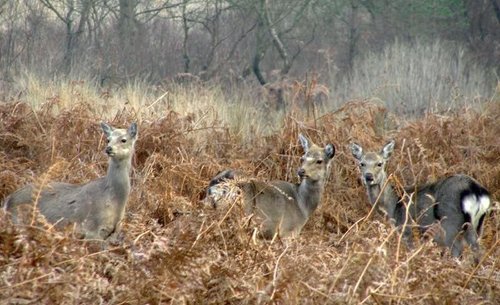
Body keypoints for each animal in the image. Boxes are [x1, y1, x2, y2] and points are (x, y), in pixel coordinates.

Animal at [3, 121, 139, 240]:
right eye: (108, 139)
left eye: (123, 139)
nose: (109, 148)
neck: (114, 200)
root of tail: (8, 200)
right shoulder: (92, 229)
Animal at [207, 134, 336, 239]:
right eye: (302, 158)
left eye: (319, 161)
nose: (301, 171)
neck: (303, 206)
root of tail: (219, 187)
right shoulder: (287, 231)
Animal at [350, 139, 490, 258]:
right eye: (361, 164)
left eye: (380, 163)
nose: (368, 177)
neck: (392, 206)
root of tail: (474, 190)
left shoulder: (406, 229)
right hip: (476, 225)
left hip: (450, 222)